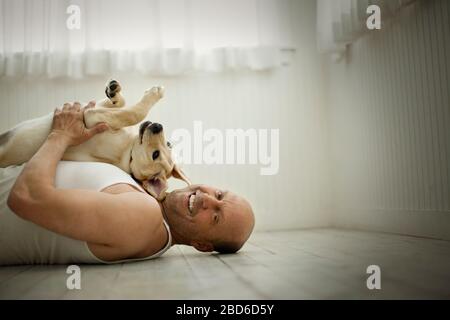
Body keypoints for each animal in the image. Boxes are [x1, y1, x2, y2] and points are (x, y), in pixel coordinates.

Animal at [0, 79, 189, 200]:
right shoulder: (96, 108)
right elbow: (121, 105)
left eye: (155, 155)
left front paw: (154, 94)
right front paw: (113, 91)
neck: (128, 150)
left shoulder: (93, 117)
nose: (158, 126)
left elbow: (133, 113)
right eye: (169, 144)